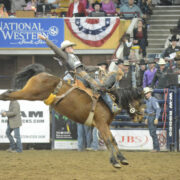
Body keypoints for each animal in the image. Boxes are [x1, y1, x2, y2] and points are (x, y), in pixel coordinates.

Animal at [0, 64, 144, 168]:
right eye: (141, 101)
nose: (141, 118)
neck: (111, 100)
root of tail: (43, 73)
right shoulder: (101, 124)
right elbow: (108, 141)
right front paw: (114, 161)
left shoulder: (105, 125)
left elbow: (113, 140)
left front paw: (123, 159)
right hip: (31, 93)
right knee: (9, 95)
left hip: (30, 93)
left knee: (10, 92)